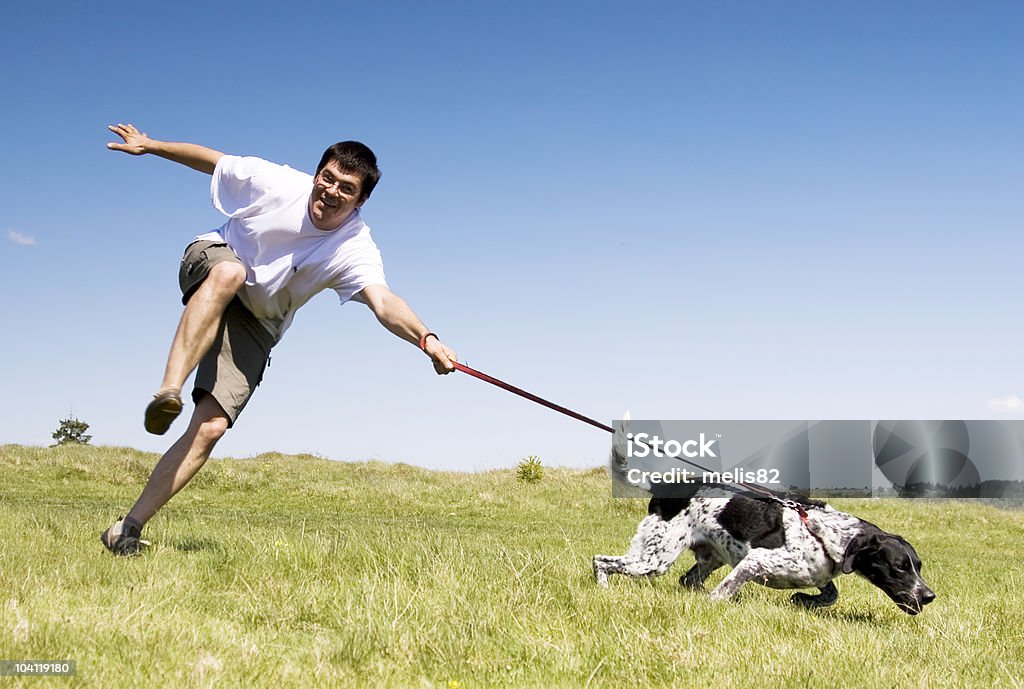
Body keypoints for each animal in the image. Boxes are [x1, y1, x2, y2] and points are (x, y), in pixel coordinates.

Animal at [593, 413, 937, 614]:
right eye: (899, 567)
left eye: (918, 565)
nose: (929, 596)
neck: (825, 535)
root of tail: (662, 486)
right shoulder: (755, 560)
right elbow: (725, 590)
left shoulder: (816, 574)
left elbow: (831, 594)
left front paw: (803, 600)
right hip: (654, 559)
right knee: (601, 561)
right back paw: (603, 590)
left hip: (707, 557)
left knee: (687, 580)